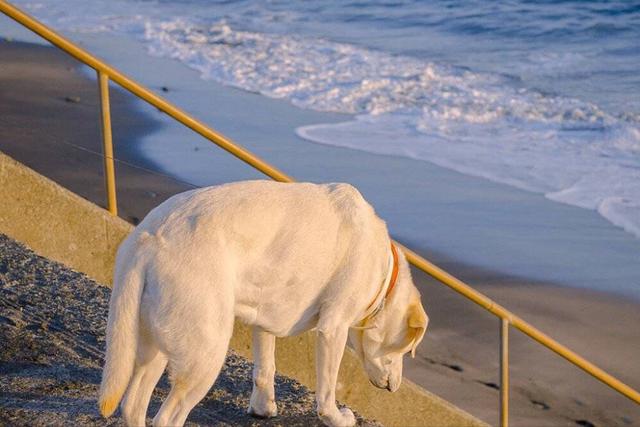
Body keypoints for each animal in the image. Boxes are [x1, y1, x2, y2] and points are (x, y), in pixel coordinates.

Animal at [97, 181, 428, 427]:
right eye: (403, 350)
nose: (395, 387)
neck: (385, 274)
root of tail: (147, 240)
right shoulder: (333, 328)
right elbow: (326, 392)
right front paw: (338, 417)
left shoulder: (267, 313)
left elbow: (265, 366)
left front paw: (263, 407)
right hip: (205, 355)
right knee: (166, 418)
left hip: (154, 345)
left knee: (133, 405)